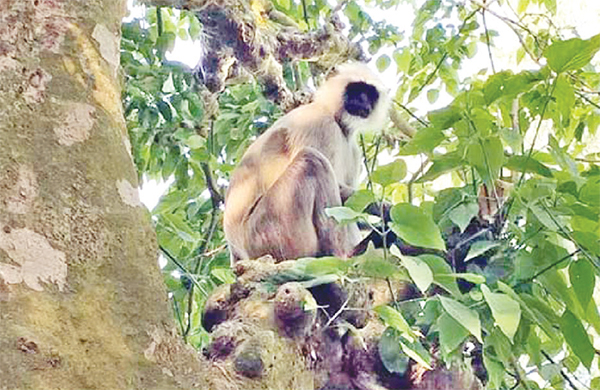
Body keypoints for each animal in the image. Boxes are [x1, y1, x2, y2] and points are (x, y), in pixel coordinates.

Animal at [224, 64, 390, 264]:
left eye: (370, 94)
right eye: (356, 90)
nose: (363, 101)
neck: (338, 122)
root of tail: (237, 253)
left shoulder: (354, 151)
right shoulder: (319, 123)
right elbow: (340, 191)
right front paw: (388, 211)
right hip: (269, 231)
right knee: (312, 161)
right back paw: (341, 255)